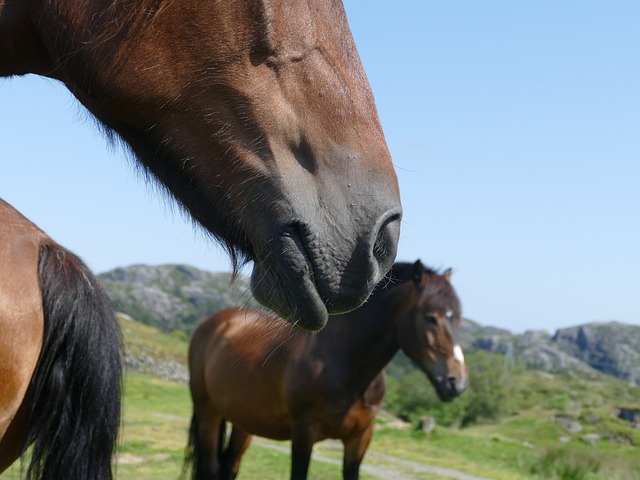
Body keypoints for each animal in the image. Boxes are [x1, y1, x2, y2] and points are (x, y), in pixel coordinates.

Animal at [185, 260, 470, 478]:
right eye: (430, 317)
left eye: (457, 318)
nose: (457, 382)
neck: (344, 363)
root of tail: (218, 323)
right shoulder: (304, 433)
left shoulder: (360, 439)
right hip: (207, 411)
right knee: (210, 468)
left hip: (244, 421)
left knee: (229, 465)